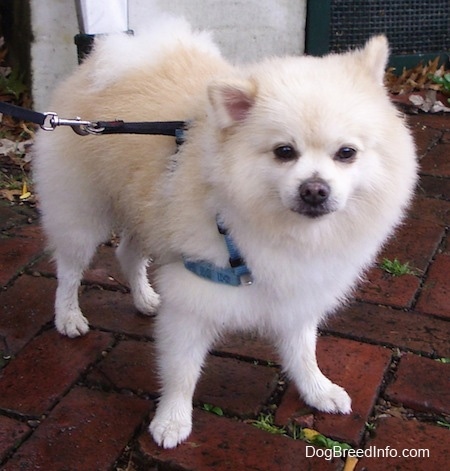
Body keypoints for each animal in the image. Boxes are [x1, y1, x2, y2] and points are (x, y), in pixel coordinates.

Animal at [34, 14, 418, 450]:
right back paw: (68, 316)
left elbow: (303, 350)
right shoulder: (192, 295)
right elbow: (182, 371)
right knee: (69, 268)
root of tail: (106, 62)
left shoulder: (297, 290)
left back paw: (145, 298)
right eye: (284, 152)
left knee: (127, 253)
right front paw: (172, 420)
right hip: (82, 212)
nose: (315, 189)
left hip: (147, 211)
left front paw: (317, 389)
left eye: (347, 153)